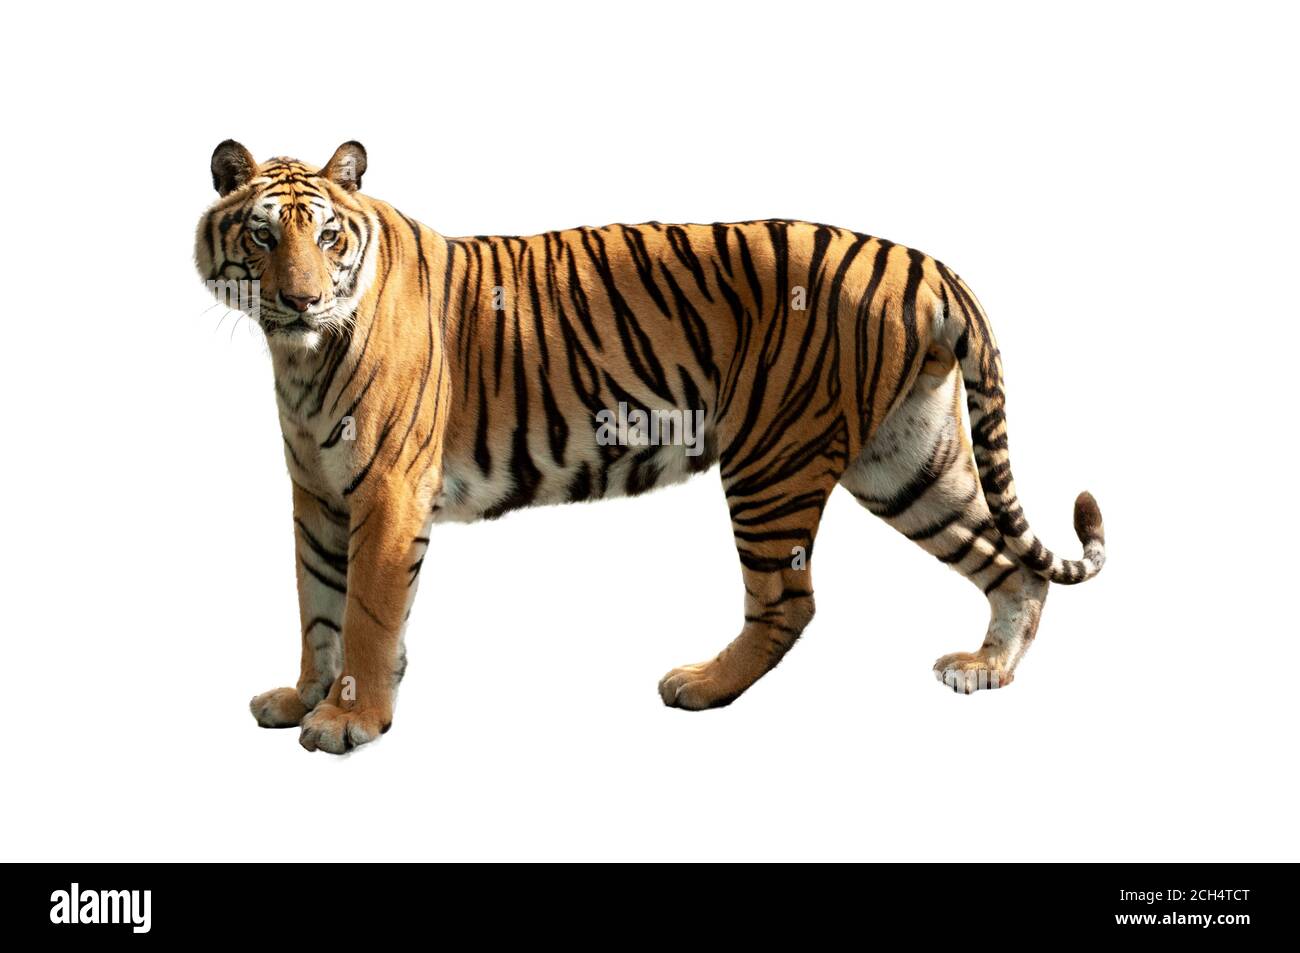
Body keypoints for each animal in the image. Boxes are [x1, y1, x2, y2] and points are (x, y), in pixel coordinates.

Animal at [195, 140, 1105, 755]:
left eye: (328, 239)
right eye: (263, 237)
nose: (301, 300)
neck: (298, 358)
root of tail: (925, 261)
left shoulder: (385, 490)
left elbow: (365, 611)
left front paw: (349, 719)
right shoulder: (318, 494)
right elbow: (316, 605)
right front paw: (303, 698)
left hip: (772, 458)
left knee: (790, 601)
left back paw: (700, 686)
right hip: (907, 460)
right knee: (1011, 564)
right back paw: (985, 669)